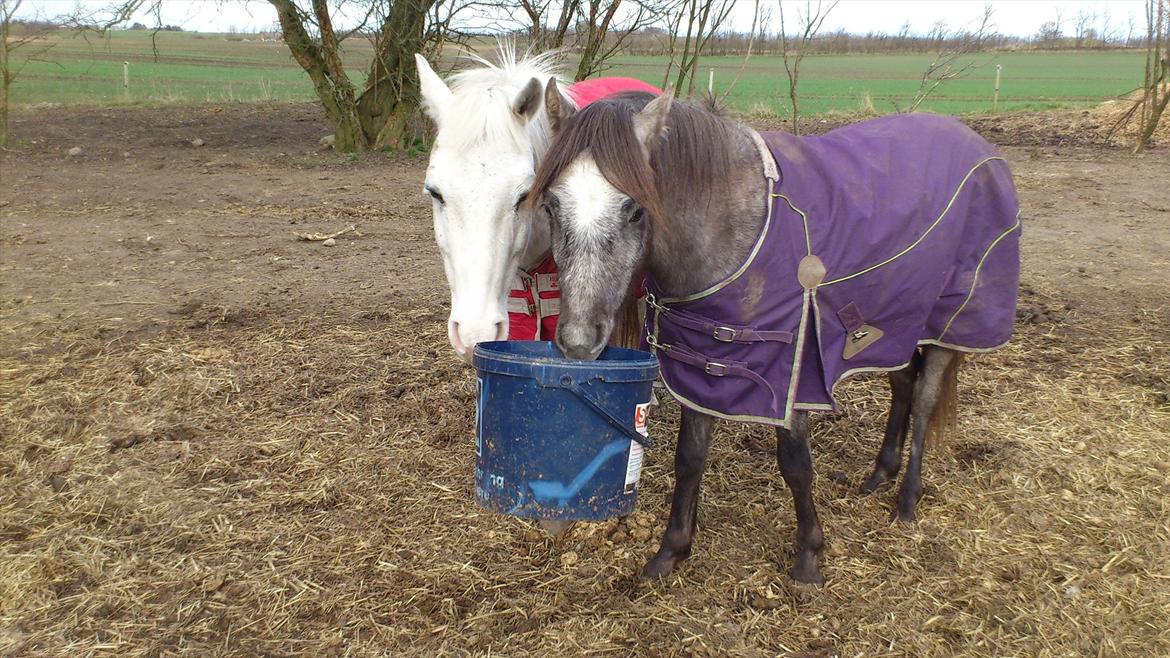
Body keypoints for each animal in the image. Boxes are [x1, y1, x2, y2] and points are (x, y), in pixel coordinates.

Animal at [528, 84, 1020, 585]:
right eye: (551, 205)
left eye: (634, 211)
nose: (579, 341)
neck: (738, 229)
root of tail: (983, 151)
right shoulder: (701, 363)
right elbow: (689, 457)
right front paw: (670, 552)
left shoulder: (793, 373)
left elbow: (796, 463)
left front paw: (809, 556)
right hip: (893, 326)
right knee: (903, 384)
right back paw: (879, 474)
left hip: (946, 326)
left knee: (922, 399)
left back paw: (907, 499)